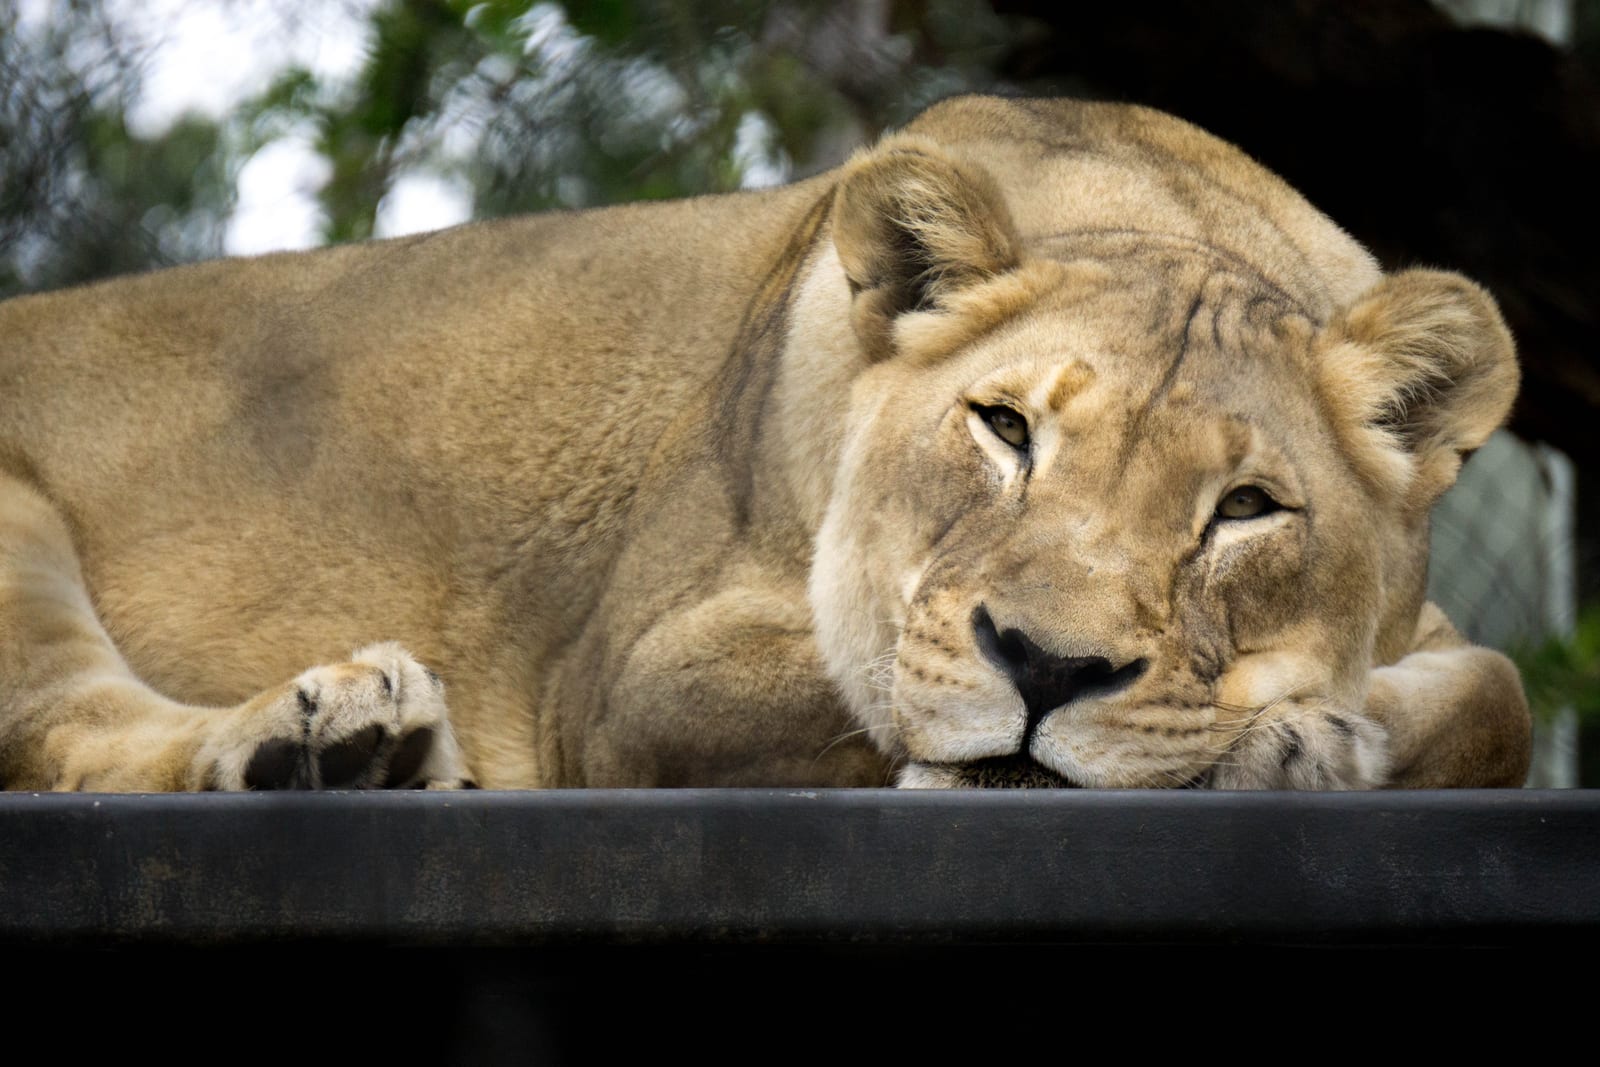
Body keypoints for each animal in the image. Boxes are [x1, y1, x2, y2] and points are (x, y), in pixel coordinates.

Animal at [0, 95, 1530, 793]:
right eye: (1005, 427)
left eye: (1246, 508)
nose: (1047, 668)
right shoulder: (631, 680)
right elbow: (871, 682)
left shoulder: (1440, 627)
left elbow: (1498, 689)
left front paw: (1314, 731)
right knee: (68, 735)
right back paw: (331, 735)